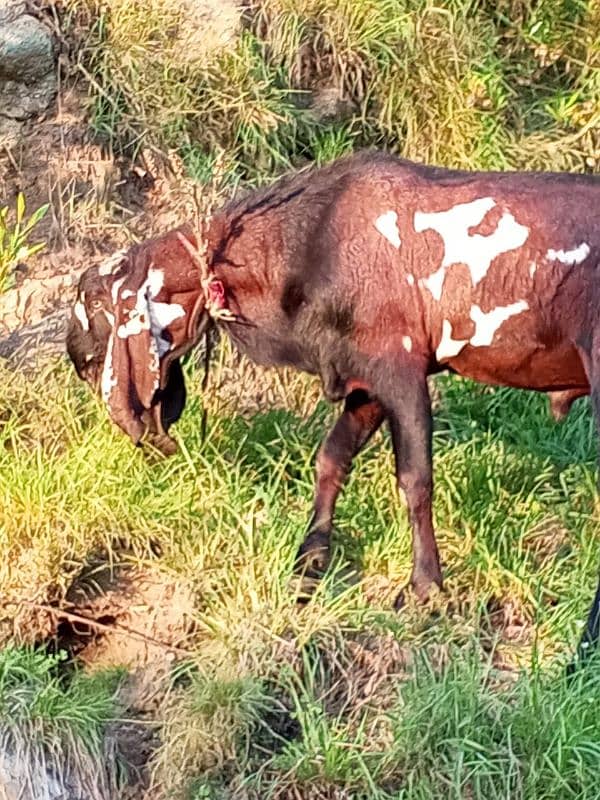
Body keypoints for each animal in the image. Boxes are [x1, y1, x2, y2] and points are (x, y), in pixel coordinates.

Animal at [67, 150, 600, 664]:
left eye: (92, 306)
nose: (74, 354)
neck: (314, 240)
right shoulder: (365, 383)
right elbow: (331, 458)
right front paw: (311, 559)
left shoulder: (400, 369)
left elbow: (414, 481)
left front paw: (424, 588)